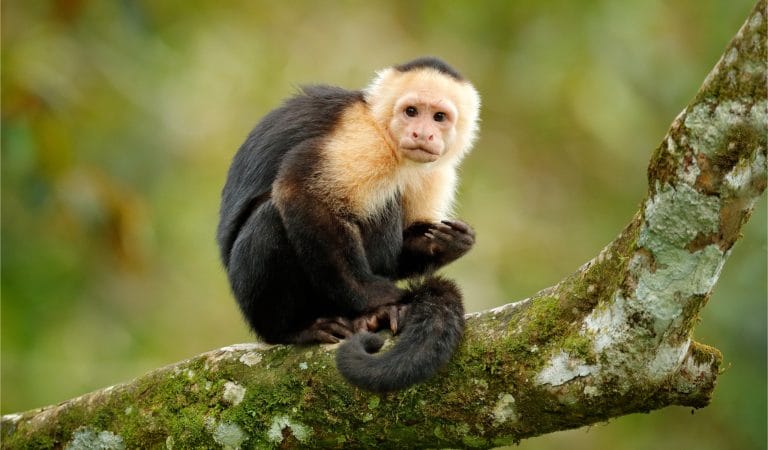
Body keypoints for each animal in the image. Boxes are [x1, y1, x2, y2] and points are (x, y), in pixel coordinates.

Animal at [216, 57, 481, 392]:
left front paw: (447, 244)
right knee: (272, 218)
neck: (386, 134)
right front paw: (378, 298)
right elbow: (301, 192)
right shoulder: (364, 140)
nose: (423, 134)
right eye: (411, 112)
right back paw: (294, 329)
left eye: (439, 117)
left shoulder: (436, 171)